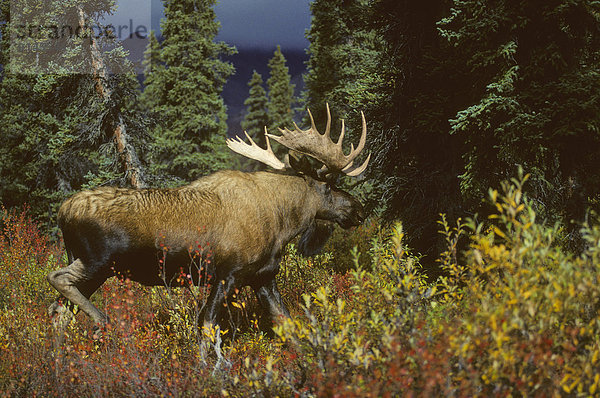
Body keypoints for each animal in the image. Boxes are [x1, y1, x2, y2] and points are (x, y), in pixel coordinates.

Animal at [48, 105, 370, 332]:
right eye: (329, 186)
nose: (359, 209)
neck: (283, 224)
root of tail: (63, 212)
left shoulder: (263, 277)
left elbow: (285, 322)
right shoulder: (227, 274)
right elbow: (207, 326)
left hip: (94, 268)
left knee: (59, 311)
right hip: (97, 262)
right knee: (56, 279)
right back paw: (101, 320)